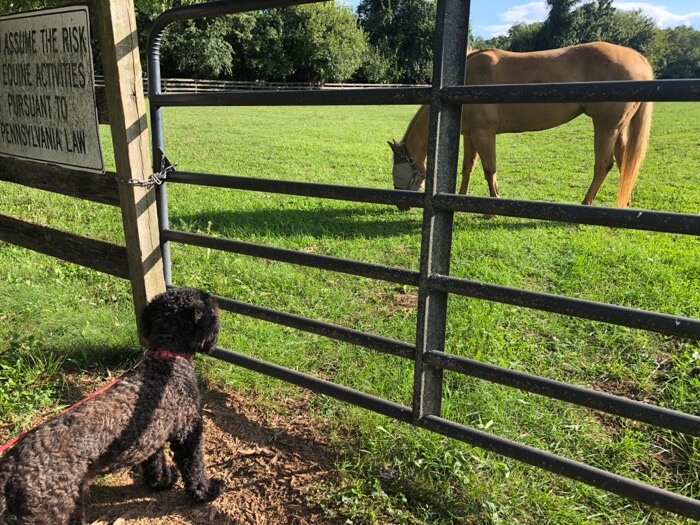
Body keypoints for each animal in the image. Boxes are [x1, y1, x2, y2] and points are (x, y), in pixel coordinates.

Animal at [0, 286, 224, 524]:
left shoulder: (150, 434)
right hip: (58, 512)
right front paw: (207, 491)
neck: (166, 358)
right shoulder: (188, 431)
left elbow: (154, 460)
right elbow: (194, 467)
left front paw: (161, 481)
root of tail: (8, 471)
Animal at [392, 40, 652, 207]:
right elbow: (468, 168)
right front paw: (460, 197)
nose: (401, 205)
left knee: (604, 165)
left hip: (606, 127)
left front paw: (491, 209)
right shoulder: (470, 135)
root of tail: (638, 58)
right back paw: (624, 202)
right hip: (618, 129)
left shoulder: (484, 134)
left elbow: (489, 169)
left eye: (399, 174)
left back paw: (586, 202)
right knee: (625, 162)